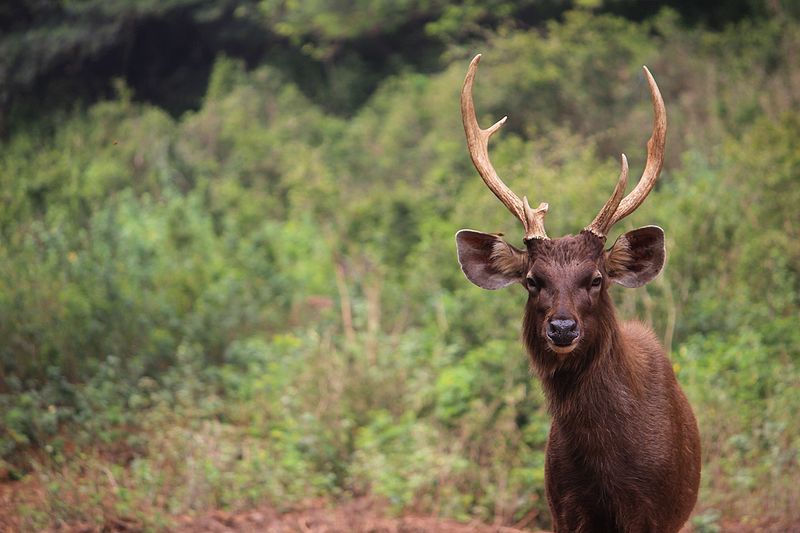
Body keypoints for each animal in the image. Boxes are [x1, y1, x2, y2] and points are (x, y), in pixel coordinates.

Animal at [454, 55, 701, 533]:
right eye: (533, 280)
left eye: (596, 278)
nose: (563, 327)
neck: (607, 469)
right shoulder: (563, 507)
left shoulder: (653, 512)